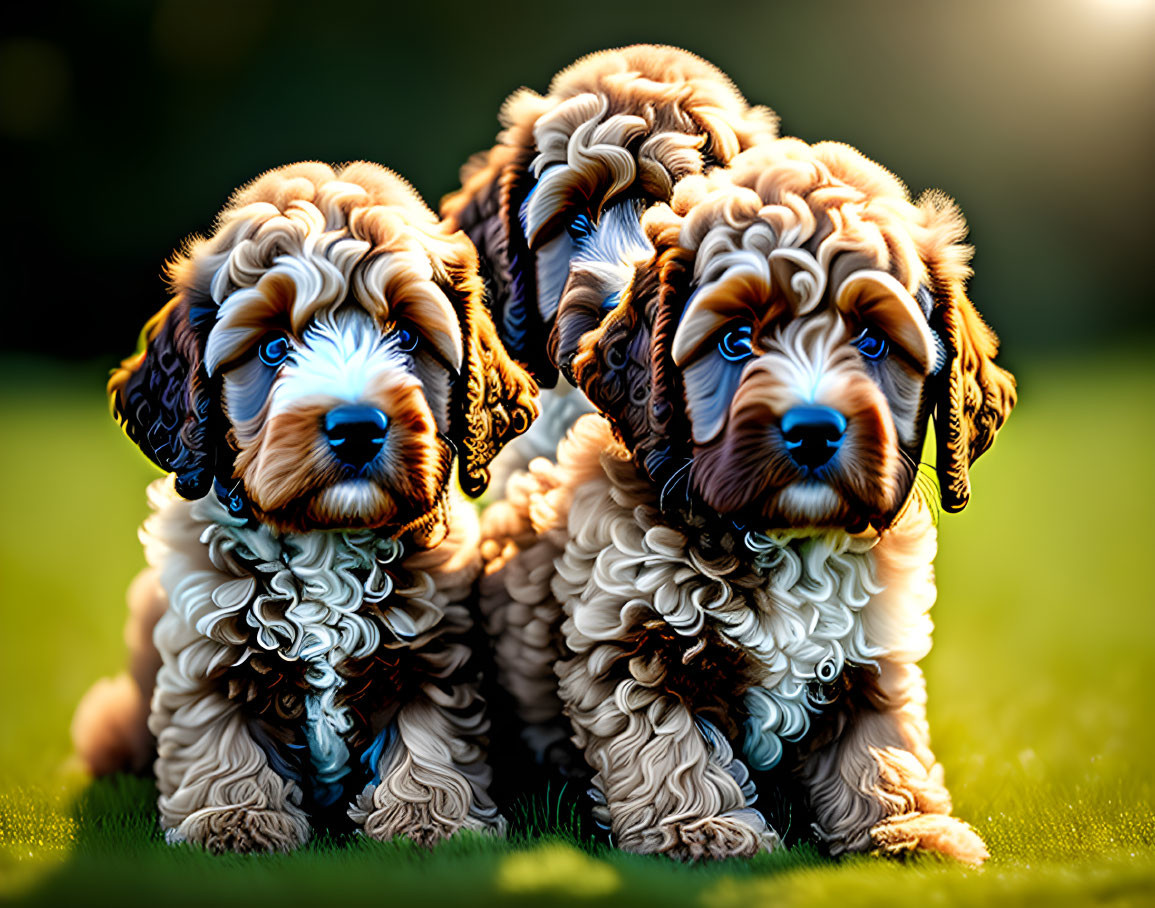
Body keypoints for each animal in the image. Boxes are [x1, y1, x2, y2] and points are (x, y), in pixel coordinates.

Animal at [73, 160, 535, 850]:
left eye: (406, 334)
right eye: (272, 348)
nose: (357, 427)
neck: (326, 537)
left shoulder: (436, 655)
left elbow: (430, 743)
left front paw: (431, 824)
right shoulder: (202, 655)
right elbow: (220, 742)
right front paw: (235, 825)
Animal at [482, 138, 1016, 859]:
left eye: (872, 340)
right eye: (736, 340)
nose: (813, 430)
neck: (784, 537)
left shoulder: (873, 651)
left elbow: (880, 744)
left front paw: (905, 828)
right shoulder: (630, 640)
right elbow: (668, 747)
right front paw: (701, 833)